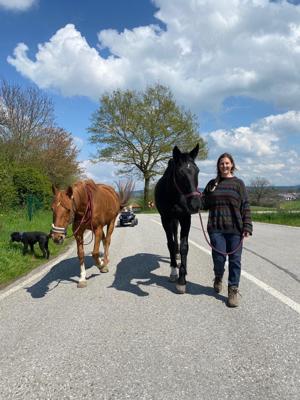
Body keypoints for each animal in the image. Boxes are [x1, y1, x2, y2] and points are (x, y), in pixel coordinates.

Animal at [155, 145, 202, 294]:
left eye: (197, 171)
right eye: (180, 173)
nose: (195, 204)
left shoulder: (186, 218)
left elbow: (184, 247)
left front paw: (182, 279)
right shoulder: (165, 219)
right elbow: (170, 244)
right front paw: (174, 272)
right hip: (172, 219)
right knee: (174, 235)